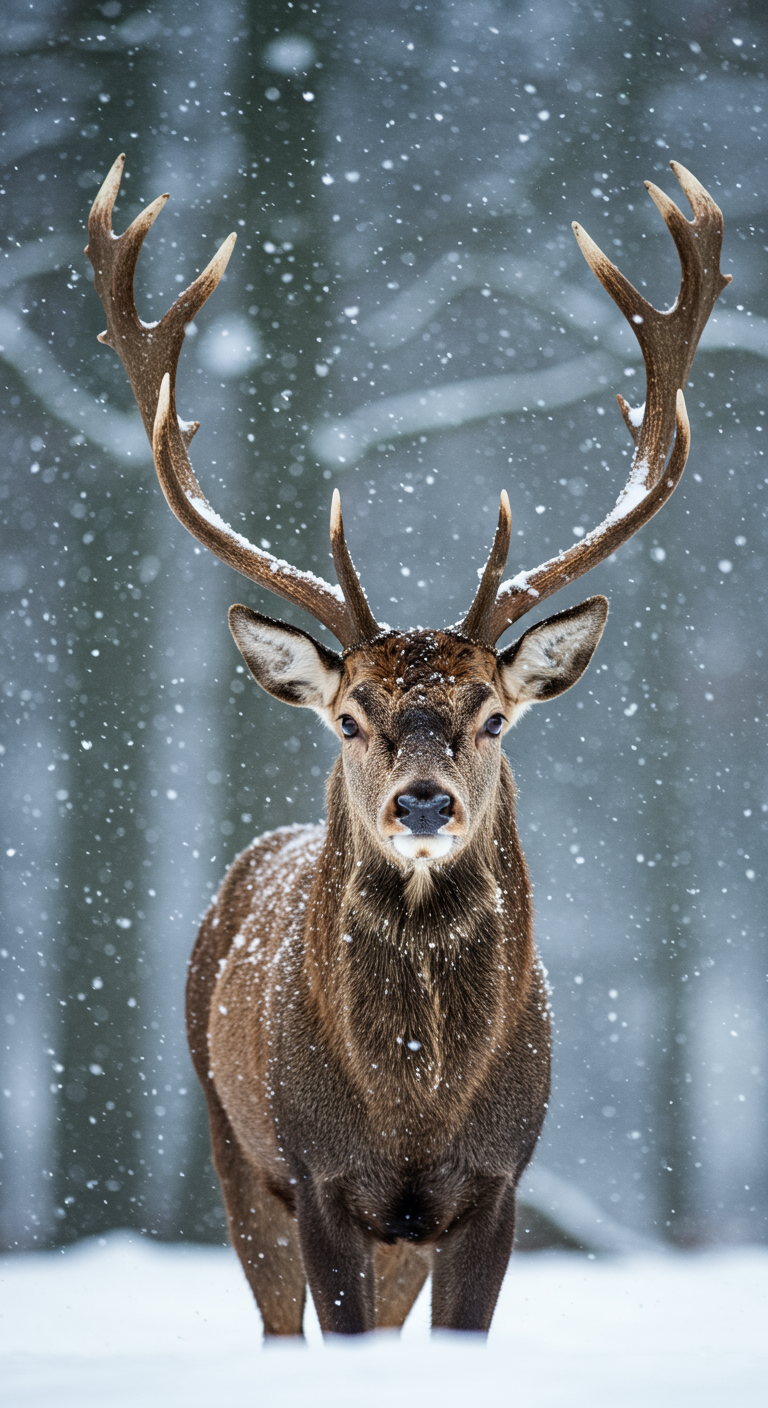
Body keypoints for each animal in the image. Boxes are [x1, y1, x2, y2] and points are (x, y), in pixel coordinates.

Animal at [86, 156, 728, 1337]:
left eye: (494, 714)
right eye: (349, 715)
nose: (423, 801)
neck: (414, 1107)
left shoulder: (497, 1184)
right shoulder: (319, 1178)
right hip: (231, 1146)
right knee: (277, 1320)